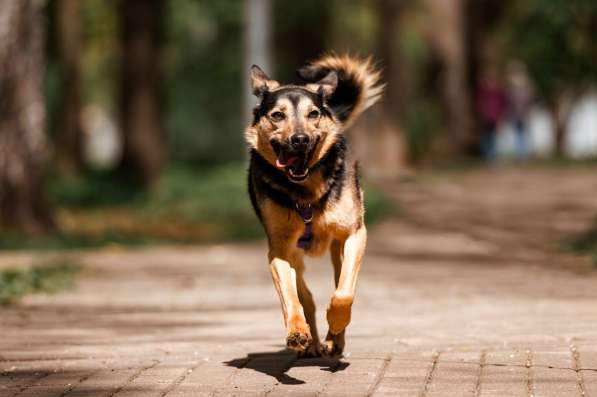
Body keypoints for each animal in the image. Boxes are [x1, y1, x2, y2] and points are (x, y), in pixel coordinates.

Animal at [246, 53, 382, 356]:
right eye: (277, 115)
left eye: (313, 114)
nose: (300, 140)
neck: (306, 191)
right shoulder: (280, 250)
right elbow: (292, 298)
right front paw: (298, 332)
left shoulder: (355, 234)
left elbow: (343, 293)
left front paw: (337, 322)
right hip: (297, 257)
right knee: (305, 296)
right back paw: (312, 343)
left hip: (338, 249)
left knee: (338, 281)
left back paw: (334, 339)